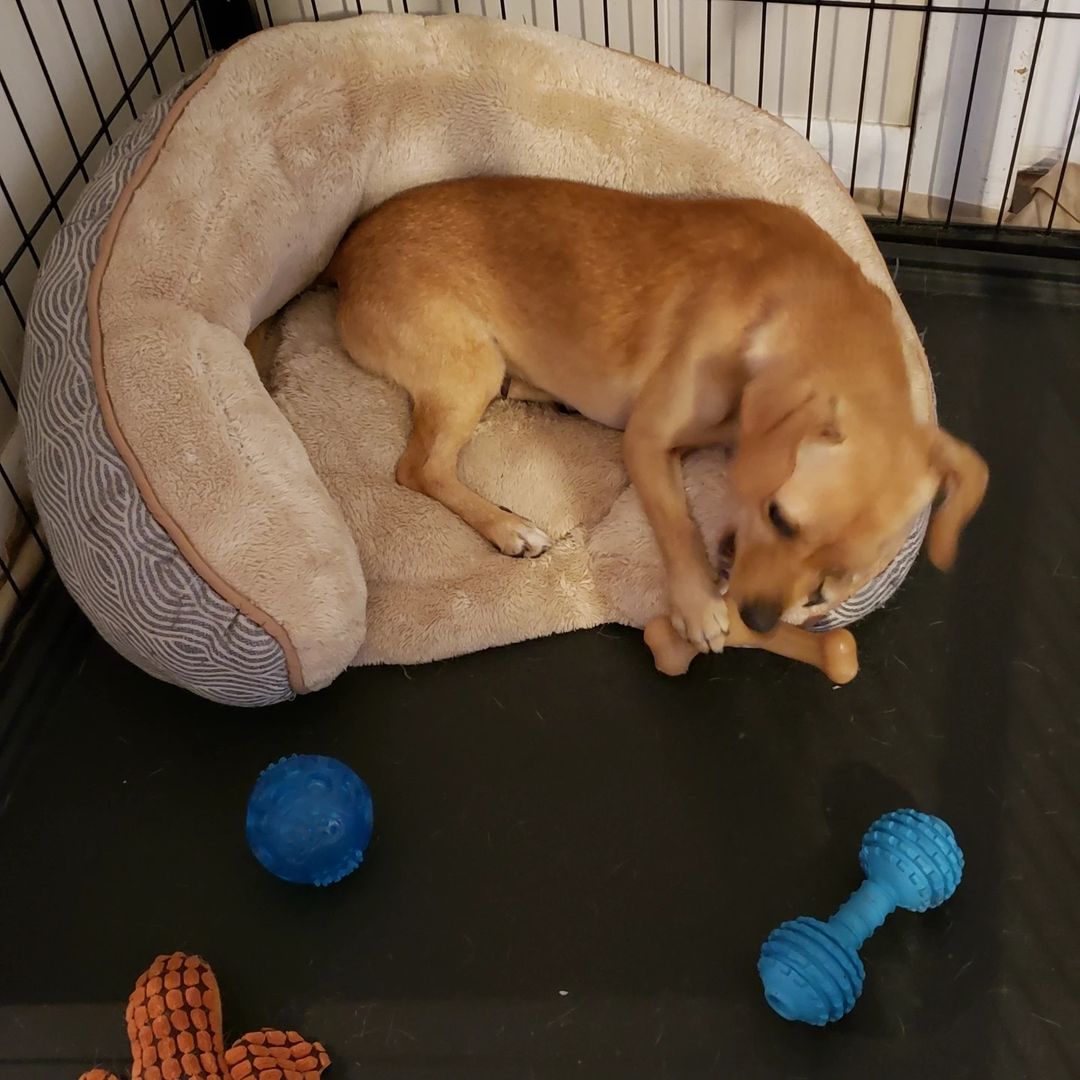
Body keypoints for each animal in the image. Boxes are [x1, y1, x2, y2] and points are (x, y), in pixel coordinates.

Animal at [321, 176, 989, 648]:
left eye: (835, 581)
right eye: (779, 517)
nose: (758, 620)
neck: (799, 305)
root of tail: (346, 251)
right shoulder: (646, 439)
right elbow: (677, 525)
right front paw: (697, 607)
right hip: (468, 369)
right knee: (420, 469)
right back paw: (509, 528)